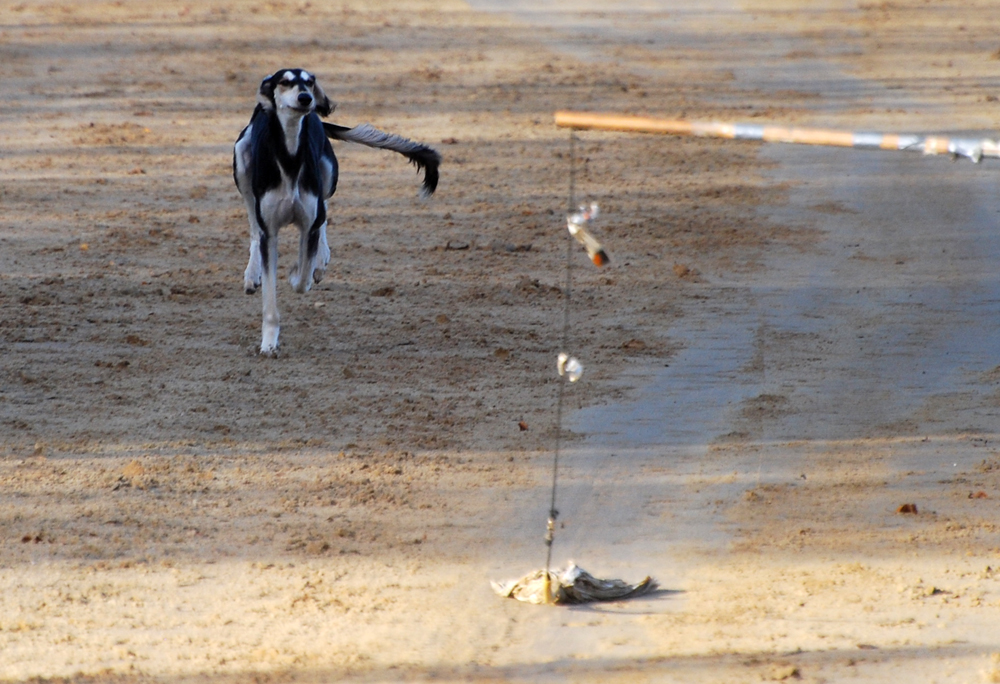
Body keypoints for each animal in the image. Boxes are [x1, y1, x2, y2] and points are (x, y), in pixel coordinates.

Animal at [233, 68, 440, 355]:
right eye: (284, 81)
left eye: (310, 81)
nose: (306, 98)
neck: (289, 157)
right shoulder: (270, 232)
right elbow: (270, 299)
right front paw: (268, 343)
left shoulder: (309, 220)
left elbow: (302, 276)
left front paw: (301, 271)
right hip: (242, 160)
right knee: (254, 226)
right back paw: (252, 275)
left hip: (329, 171)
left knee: (324, 215)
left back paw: (320, 260)